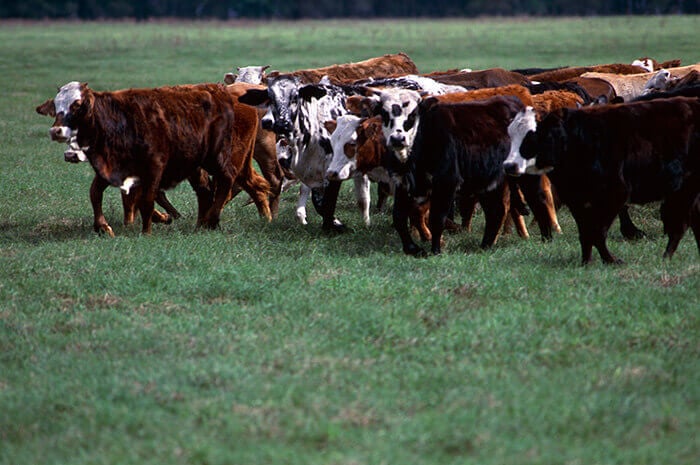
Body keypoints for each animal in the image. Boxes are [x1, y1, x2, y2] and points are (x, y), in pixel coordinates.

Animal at [40, 81, 271, 235]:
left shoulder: (153, 167)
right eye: (56, 106)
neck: (119, 120)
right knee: (226, 189)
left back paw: (211, 220)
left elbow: (146, 200)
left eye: (77, 104)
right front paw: (103, 227)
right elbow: (96, 193)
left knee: (226, 182)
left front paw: (147, 231)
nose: (56, 131)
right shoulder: (115, 169)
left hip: (221, 159)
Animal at [503, 97, 700, 264]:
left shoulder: (615, 193)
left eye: (532, 136)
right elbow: (585, 233)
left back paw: (665, 257)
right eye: (511, 134)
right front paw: (586, 262)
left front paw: (611, 260)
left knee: (680, 225)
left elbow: (597, 232)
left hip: (685, 190)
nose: (509, 165)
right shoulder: (575, 199)